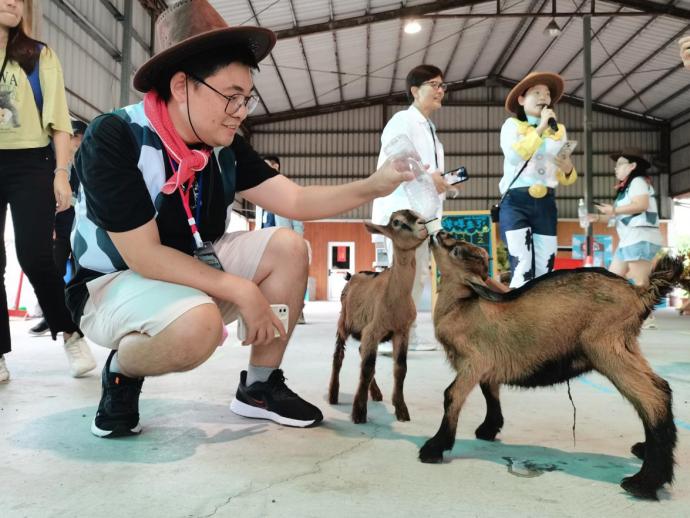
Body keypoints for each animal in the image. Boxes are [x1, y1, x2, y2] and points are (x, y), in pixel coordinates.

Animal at [416, 233, 680, 504]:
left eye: (457, 251)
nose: (437, 234)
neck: (464, 306)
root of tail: (638, 294)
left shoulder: (473, 362)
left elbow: (452, 395)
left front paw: (434, 448)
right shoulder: (490, 365)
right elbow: (491, 392)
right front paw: (489, 428)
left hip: (606, 349)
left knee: (652, 397)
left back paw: (644, 482)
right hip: (626, 347)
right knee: (660, 388)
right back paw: (644, 452)